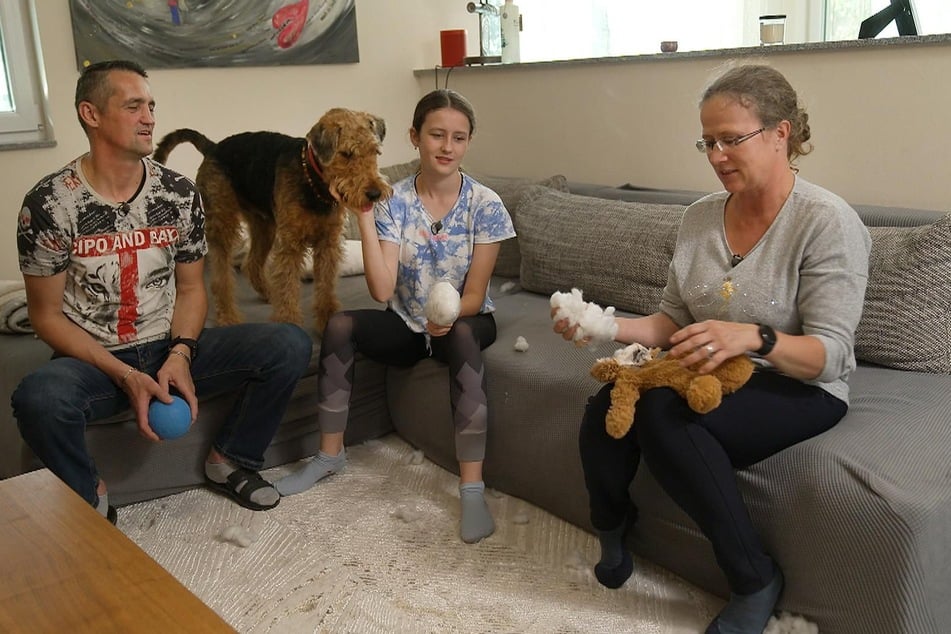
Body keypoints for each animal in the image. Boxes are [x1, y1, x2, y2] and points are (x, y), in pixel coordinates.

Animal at [154, 106, 392, 334]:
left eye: (375, 151)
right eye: (346, 153)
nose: (374, 193)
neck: (314, 184)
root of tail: (213, 147)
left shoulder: (328, 243)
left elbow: (325, 286)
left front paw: (327, 321)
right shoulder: (290, 244)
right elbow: (288, 287)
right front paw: (289, 322)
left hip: (264, 225)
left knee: (251, 264)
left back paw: (269, 293)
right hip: (224, 224)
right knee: (221, 279)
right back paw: (229, 317)